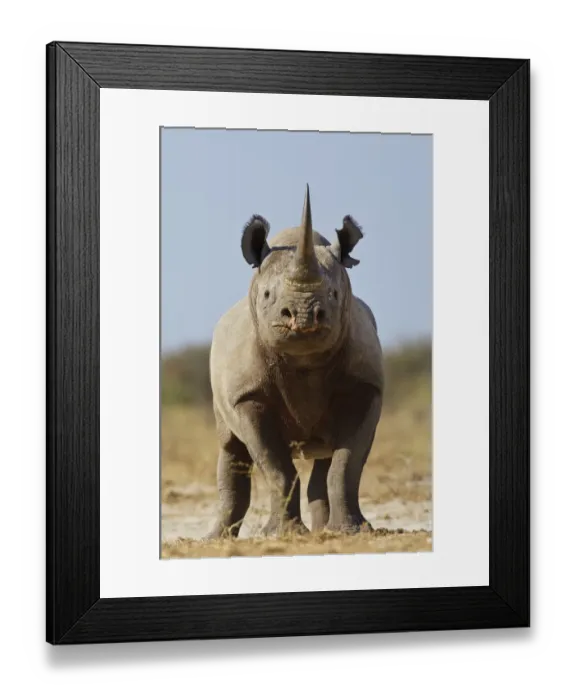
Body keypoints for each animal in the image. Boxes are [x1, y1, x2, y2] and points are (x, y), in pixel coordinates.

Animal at [205, 185, 384, 539]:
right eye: (267, 296)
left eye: (334, 294)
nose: (303, 316)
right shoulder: (248, 396)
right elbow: (276, 466)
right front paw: (279, 535)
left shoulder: (365, 387)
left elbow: (347, 465)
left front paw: (353, 532)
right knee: (231, 447)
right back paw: (214, 539)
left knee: (326, 456)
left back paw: (325, 529)